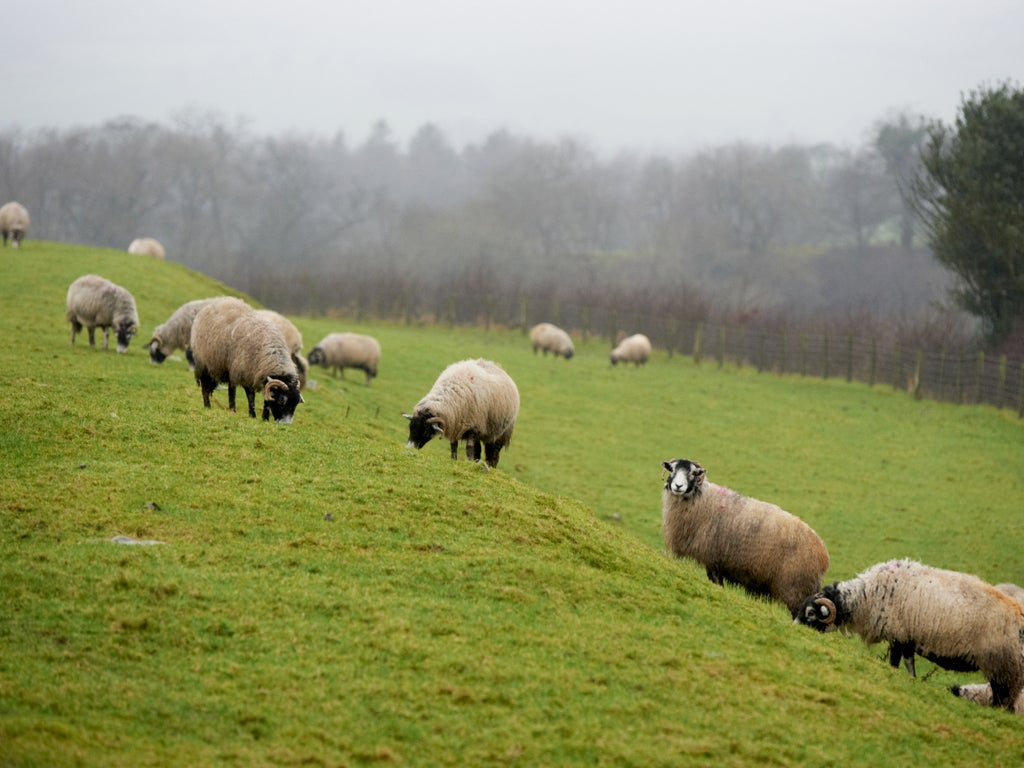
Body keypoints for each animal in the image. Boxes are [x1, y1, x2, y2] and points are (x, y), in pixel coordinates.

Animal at [659, 456, 827, 618]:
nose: (678, 486)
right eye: (672, 469)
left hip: (796, 589)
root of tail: (823, 553)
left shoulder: (714, 560)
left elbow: (717, 584)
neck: (703, 500)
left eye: (693, 473)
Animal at [794, 561, 1024, 716]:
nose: (793, 627)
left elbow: (900, 663)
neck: (867, 597)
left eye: (811, 613)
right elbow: (908, 663)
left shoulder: (900, 637)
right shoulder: (905, 639)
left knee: (1004, 702)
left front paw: (904, 679)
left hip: (1004, 669)